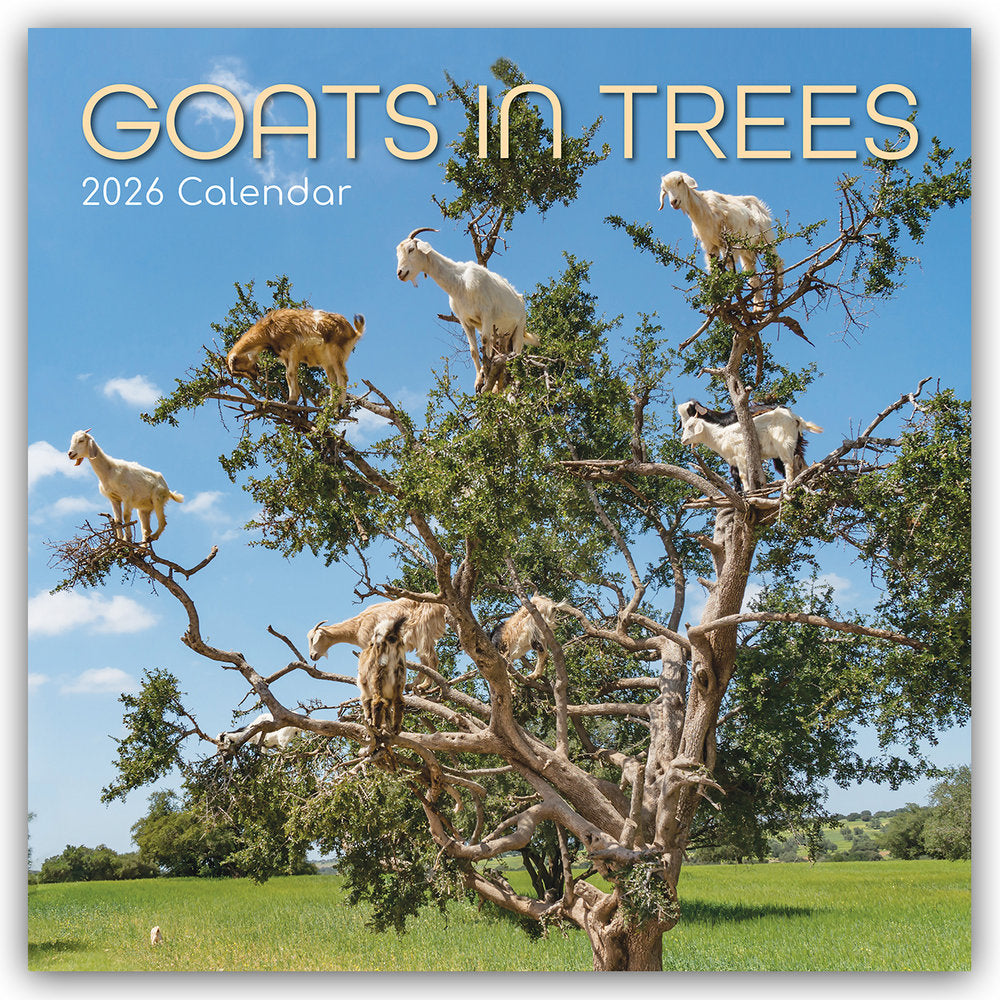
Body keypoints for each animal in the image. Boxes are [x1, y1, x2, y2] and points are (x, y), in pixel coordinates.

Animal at [227, 308, 365, 405]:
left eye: (239, 367)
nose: (254, 376)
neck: (268, 331)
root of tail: (354, 332)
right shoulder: (285, 356)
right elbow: (288, 376)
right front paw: (293, 398)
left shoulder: (292, 348)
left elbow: (290, 373)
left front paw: (292, 400)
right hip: (327, 362)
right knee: (333, 381)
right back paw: (331, 405)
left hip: (335, 352)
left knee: (342, 377)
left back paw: (338, 408)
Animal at [308, 597, 446, 691]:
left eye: (313, 639)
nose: (312, 656)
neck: (357, 628)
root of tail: (441, 608)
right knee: (424, 662)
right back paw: (413, 685)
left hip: (423, 633)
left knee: (431, 658)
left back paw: (425, 685)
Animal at [395, 227, 539, 392]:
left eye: (411, 249)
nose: (400, 273)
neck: (460, 282)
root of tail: (520, 300)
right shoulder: (465, 320)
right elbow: (474, 350)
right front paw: (478, 381)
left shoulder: (486, 314)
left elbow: (485, 343)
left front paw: (484, 374)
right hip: (504, 336)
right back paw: (498, 386)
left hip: (519, 328)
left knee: (516, 354)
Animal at [658, 171, 783, 308]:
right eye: (665, 190)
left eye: (679, 182)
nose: (673, 202)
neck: (703, 210)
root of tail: (761, 206)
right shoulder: (709, 245)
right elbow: (714, 268)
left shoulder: (725, 242)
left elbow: (728, 264)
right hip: (747, 251)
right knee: (754, 277)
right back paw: (758, 307)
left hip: (766, 238)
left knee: (777, 260)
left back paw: (778, 287)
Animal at [677, 399, 822, 494]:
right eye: (681, 417)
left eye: (691, 410)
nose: (683, 438)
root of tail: (795, 417)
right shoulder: (733, 457)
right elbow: (736, 474)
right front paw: (739, 492)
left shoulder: (740, 453)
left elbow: (740, 474)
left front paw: (746, 492)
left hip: (784, 443)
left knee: (789, 463)